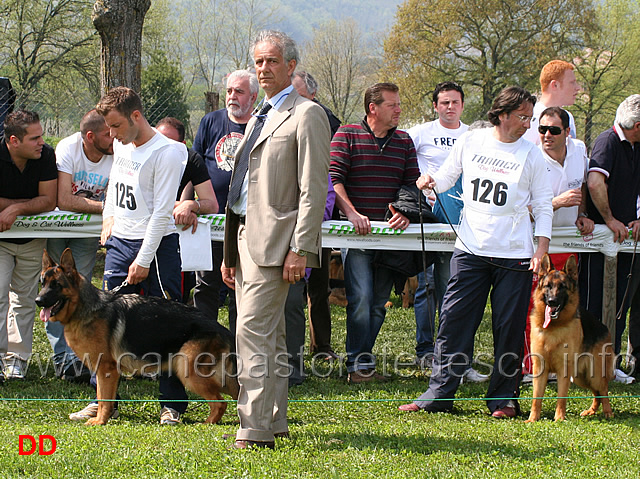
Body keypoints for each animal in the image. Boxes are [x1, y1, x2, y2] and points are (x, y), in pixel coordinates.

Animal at [35, 249, 240, 426]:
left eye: (57, 285)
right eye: (43, 283)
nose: (38, 301)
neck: (84, 308)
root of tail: (222, 329)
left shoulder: (106, 369)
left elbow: (104, 399)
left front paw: (100, 422)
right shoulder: (104, 371)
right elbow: (103, 397)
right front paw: (103, 417)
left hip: (189, 372)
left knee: (220, 402)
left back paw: (206, 424)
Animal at [524, 255, 616, 424]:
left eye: (562, 287)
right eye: (548, 286)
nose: (552, 301)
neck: (553, 328)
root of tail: (603, 326)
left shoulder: (563, 371)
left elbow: (561, 397)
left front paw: (559, 418)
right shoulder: (540, 370)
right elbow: (536, 398)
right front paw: (533, 419)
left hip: (594, 375)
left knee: (603, 391)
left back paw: (608, 412)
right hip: (581, 377)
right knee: (597, 393)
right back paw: (591, 411)